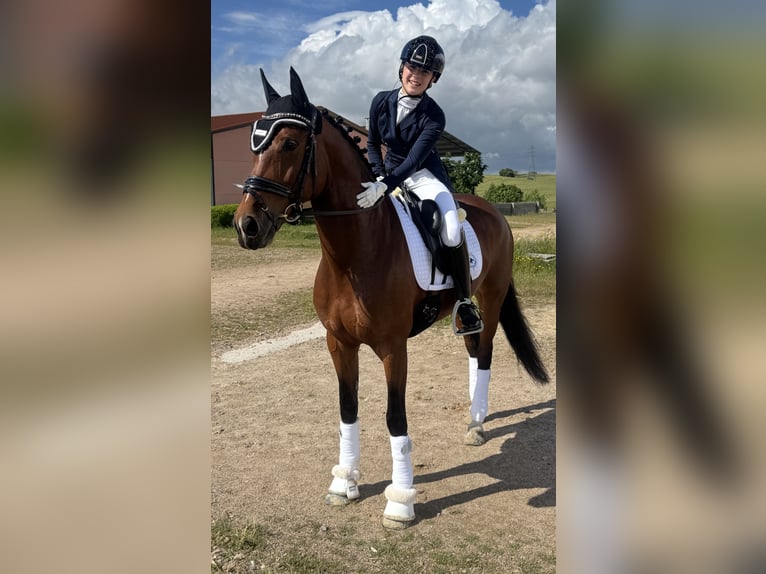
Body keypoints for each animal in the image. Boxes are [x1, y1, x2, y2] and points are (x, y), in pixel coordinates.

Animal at [233, 67, 549, 529]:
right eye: (254, 143)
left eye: (290, 143)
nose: (246, 226)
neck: (355, 253)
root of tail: (492, 210)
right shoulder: (338, 343)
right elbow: (348, 409)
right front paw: (343, 482)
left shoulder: (392, 348)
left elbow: (394, 417)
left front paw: (400, 502)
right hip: (466, 309)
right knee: (473, 350)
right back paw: (475, 416)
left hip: (489, 301)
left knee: (486, 352)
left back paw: (476, 424)